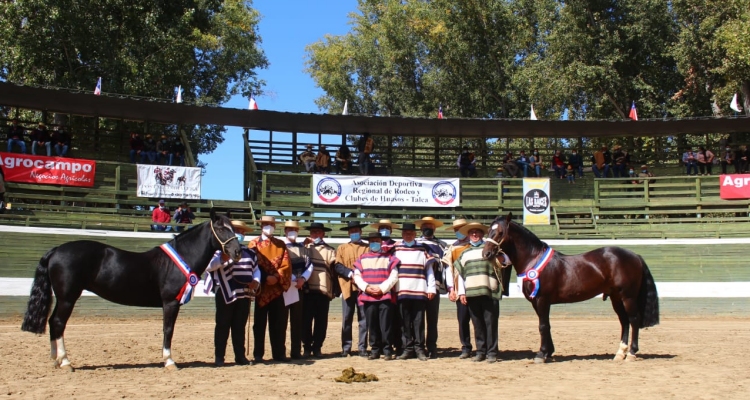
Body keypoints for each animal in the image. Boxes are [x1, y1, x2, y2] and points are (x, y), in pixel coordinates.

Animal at [21, 211, 241, 370]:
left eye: (232, 228)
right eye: (221, 229)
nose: (237, 252)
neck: (180, 258)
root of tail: (56, 250)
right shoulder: (170, 302)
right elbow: (168, 329)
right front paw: (169, 361)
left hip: (63, 298)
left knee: (52, 322)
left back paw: (56, 360)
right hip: (68, 297)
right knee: (59, 323)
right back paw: (65, 361)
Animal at [482, 214, 656, 364]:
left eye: (500, 232)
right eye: (489, 230)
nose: (486, 253)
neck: (533, 260)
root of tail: (636, 256)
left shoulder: (542, 299)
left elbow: (543, 326)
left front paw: (541, 354)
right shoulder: (536, 302)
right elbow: (546, 325)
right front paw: (548, 352)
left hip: (628, 297)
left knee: (633, 320)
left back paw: (631, 353)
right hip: (616, 298)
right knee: (624, 321)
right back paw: (620, 353)